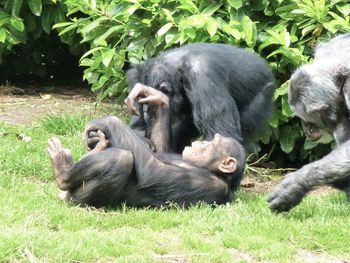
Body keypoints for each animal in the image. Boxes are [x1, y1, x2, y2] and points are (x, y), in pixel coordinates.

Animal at [47, 84, 246, 208]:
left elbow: (152, 169)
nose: (203, 141)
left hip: (76, 198)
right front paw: (158, 98)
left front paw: (108, 121)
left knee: (122, 158)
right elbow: (158, 149)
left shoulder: (211, 184)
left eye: (214, 143)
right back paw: (97, 147)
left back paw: (62, 171)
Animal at [122, 43, 274, 154]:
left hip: (262, 97)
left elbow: (223, 134)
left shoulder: (204, 78)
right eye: (142, 104)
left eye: (149, 106)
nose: (146, 112)